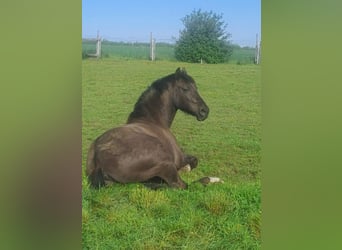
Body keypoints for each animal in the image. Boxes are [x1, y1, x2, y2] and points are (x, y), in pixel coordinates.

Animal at [84, 67, 220, 188]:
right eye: (185, 89)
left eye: (196, 88)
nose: (204, 111)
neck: (154, 121)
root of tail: (98, 158)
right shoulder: (180, 157)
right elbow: (194, 161)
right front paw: (186, 168)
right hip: (166, 165)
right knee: (183, 185)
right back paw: (214, 179)